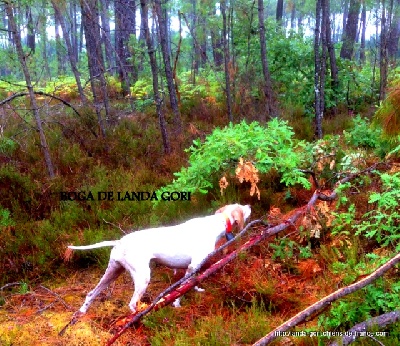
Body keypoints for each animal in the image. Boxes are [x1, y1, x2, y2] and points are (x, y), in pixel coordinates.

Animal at [68, 203, 250, 314]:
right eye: (241, 207)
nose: (249, 205)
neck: (216, 223)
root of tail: (120, 241)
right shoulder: (192, 266)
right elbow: (181, 289)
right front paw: (177, 304)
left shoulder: (195, 268)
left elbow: (193, 282)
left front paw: (197, 290)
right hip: (142, 277)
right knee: (132, 304)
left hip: (112, 272)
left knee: (91, 294)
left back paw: (82, 312)